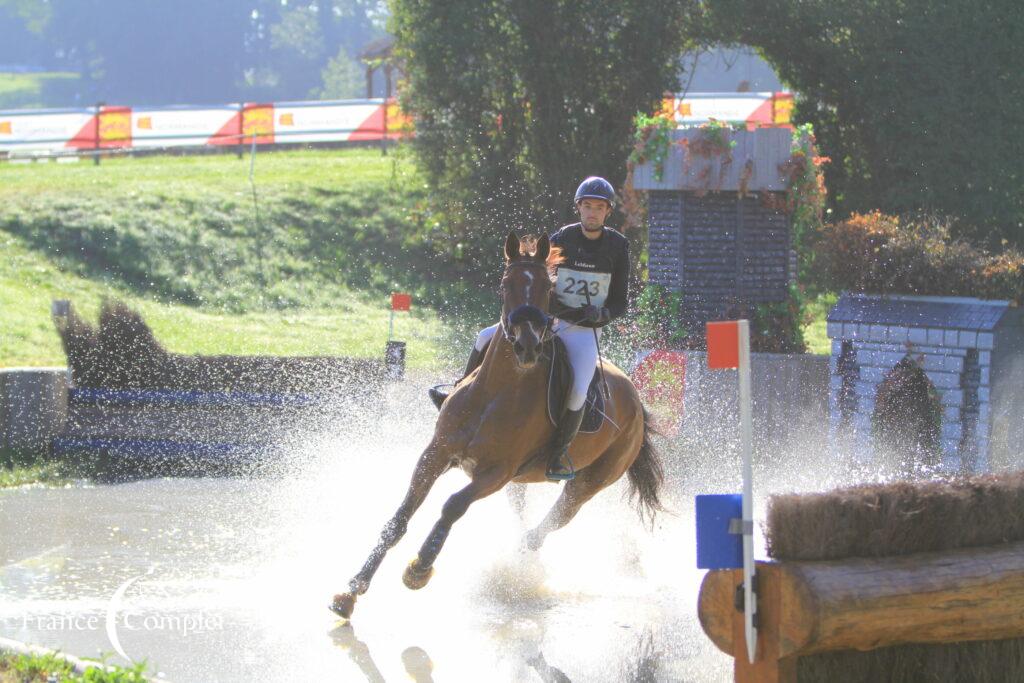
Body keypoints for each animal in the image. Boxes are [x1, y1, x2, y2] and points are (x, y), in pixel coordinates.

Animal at [327, 231, 663, 618]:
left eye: (548, 287)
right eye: (506, 283)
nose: (527, 347)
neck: (496, 392)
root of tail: (637, 401)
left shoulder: (495, 472)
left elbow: (453, 505)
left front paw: (419, 568)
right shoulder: (436, 454)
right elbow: (399, 519)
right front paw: (352, 590)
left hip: (590, 481)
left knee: (554, 520)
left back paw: (518, 567)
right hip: (521, 481)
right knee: (523, 513)